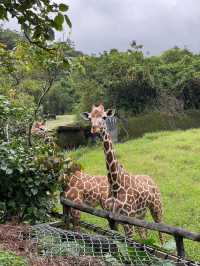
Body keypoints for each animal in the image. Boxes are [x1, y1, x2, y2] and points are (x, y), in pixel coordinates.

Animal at [81, 104, 164, 245]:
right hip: (140, 214)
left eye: (104, 117)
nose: (95, 129)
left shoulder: (127, 221)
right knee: (144, 234)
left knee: (161, 233)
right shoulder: (112, 220)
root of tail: (151, 179)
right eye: (90, 118)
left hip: (156, 207)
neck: (115, 184)